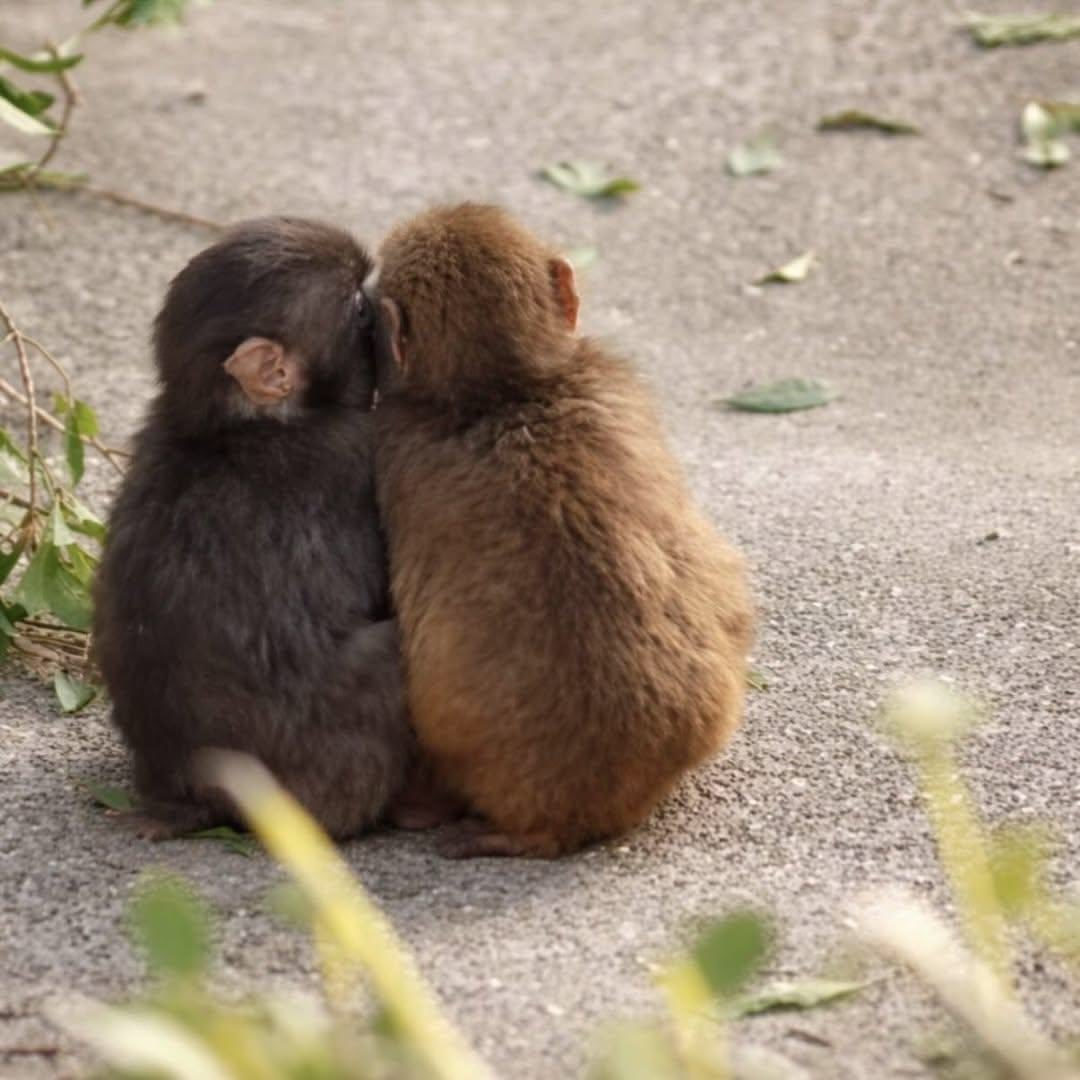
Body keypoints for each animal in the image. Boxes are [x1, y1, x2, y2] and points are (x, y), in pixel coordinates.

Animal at [93, 216, 412, 841]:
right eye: (356, 306)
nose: (380, 299)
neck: (236, 423)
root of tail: (194, 797)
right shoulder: (353, 449)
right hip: (328, 779)